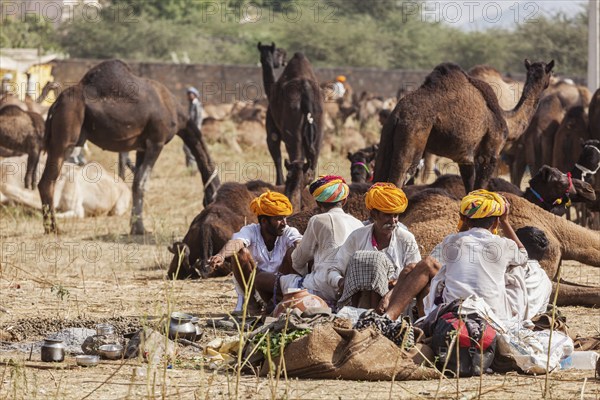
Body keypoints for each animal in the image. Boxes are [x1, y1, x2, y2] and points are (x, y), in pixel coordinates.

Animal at [39, 59, 220, 234]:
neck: (176, 113)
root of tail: (57, 102)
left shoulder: (142, 147)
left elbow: (135, 183)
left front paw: (136, 227)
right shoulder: (156, 142)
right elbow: (142, 183)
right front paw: (139, 228)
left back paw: (50, 227)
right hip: (65, 139)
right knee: (47, 181)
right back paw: (54, 229)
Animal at [256, 43, 324, 211]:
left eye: (279, 53)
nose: (282, 60)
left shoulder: (272, 131)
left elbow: (277, 157)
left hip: (292, 131)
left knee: (296, 159)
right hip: (319, 127)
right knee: (311, 162)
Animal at [378, 59, 556, 194]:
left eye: (541, 71)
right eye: (548, 72)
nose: (545, 82)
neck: (507, 119)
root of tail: (398, 115)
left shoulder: (465, 159)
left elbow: (469, 190)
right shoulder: (490, 154)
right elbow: (480, 187)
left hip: (387, 137)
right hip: (413, 135)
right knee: (400, 176)